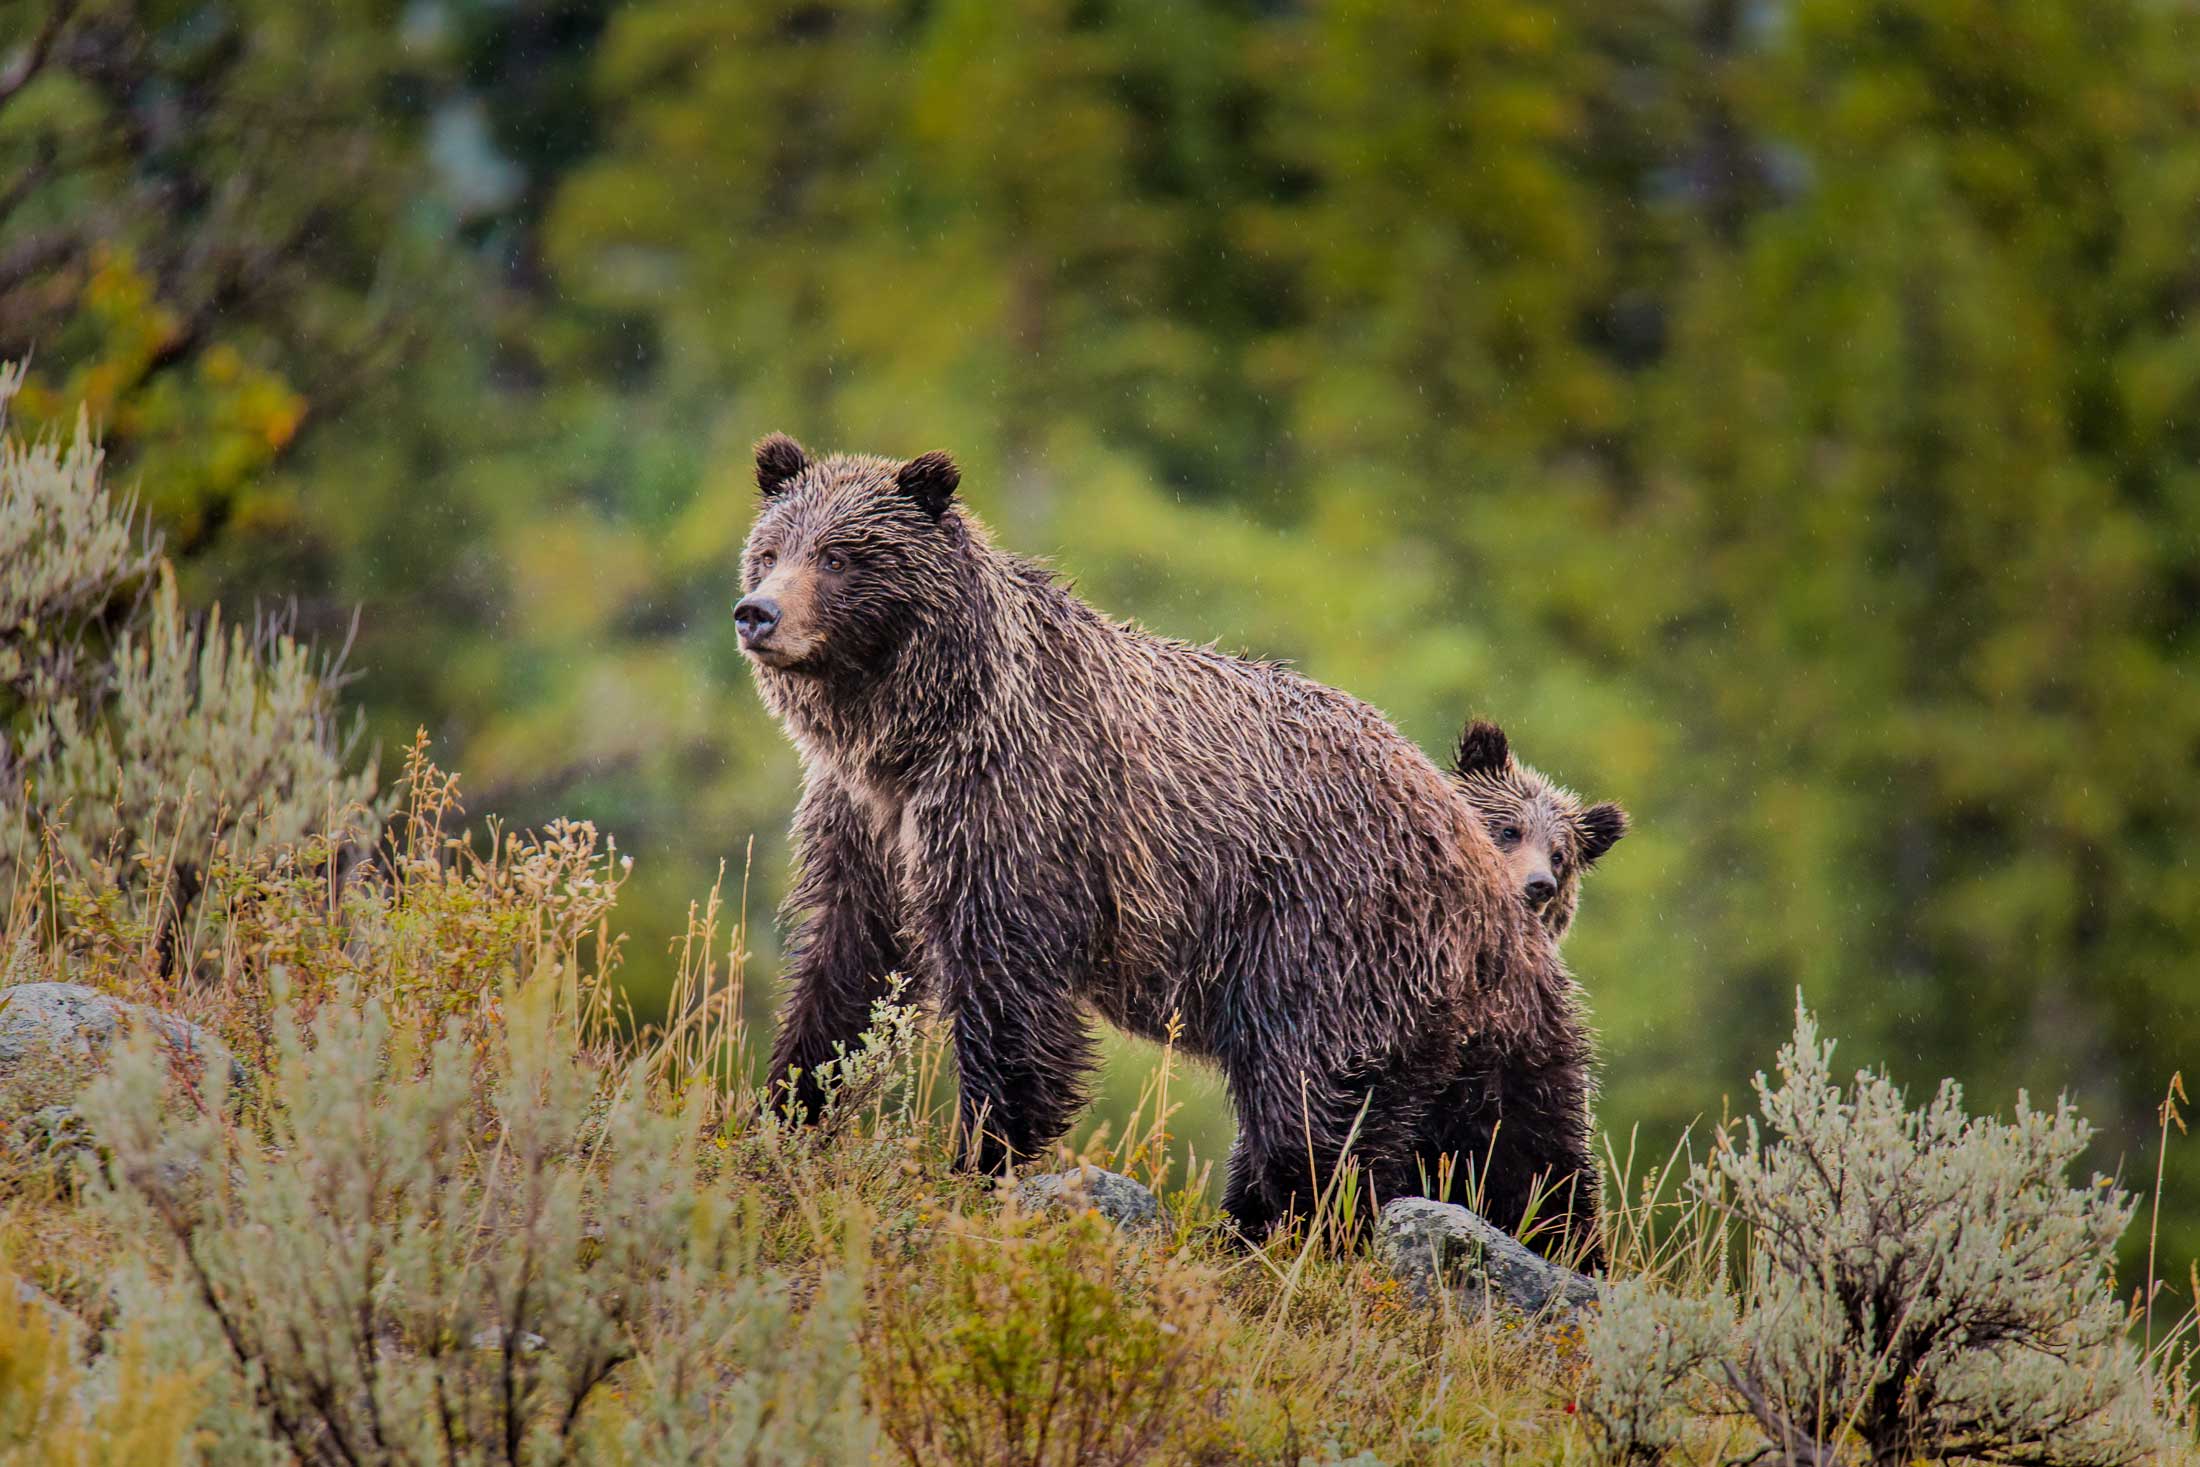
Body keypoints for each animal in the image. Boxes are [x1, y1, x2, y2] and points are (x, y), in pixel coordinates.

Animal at [736, 434, 1598, 1249]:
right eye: (772, 548)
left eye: (839, 555)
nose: (757, 612)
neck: (910, 731)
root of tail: (1476, 866)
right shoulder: (867, 825)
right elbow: (848, 965)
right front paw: (784, 1107)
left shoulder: (1019, 811)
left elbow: (1009, 1000)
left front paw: (977, 1157)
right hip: (1477, 1019)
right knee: (1523, 1142)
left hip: (1331, 945)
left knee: (1316, 1107)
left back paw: (1277, 1230)